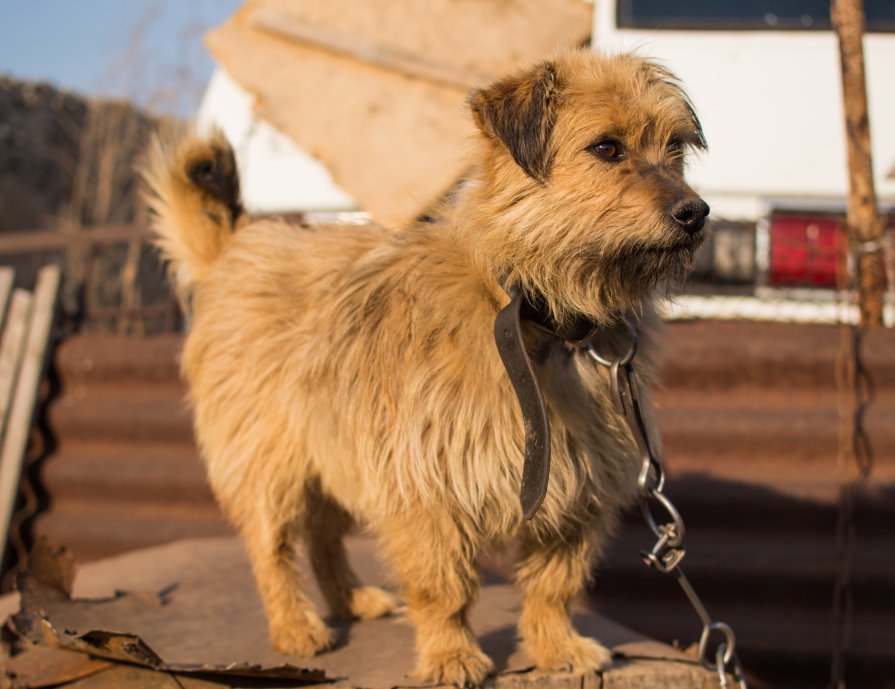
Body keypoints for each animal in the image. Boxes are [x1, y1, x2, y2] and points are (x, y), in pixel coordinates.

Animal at [144, 49, 712, 688]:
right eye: (607, 148)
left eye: (676, 148)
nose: (696, 212)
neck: (536, 315)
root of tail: (233, 250)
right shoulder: (426, 489)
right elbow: (445, 589)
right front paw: (451, 655)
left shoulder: (578, 492)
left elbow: (552, 586)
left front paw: (557, 647)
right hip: (272, 462)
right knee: (273, 548)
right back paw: (296, 628)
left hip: (332, 448)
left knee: (323, 535)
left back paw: (351, 599)